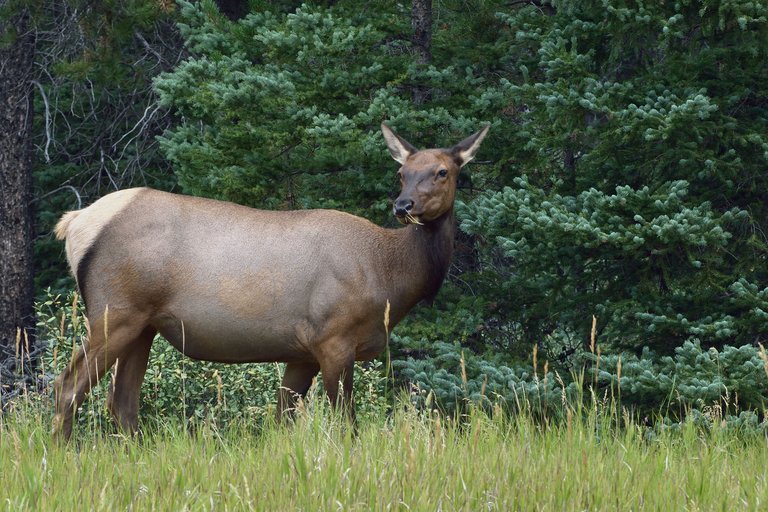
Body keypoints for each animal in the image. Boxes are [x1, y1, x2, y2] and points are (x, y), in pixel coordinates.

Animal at [51, 124, 488, 440]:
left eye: (442, 171)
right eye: (401, 172)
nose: (403, 205)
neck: (389, 277)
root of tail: (74, 223)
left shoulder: (303, 351)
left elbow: (282, 420)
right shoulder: (334, 338)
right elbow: (347, 425)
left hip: (144, 325)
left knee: (122, 402)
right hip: (115, 310)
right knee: (68, 387)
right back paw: (61, 454)